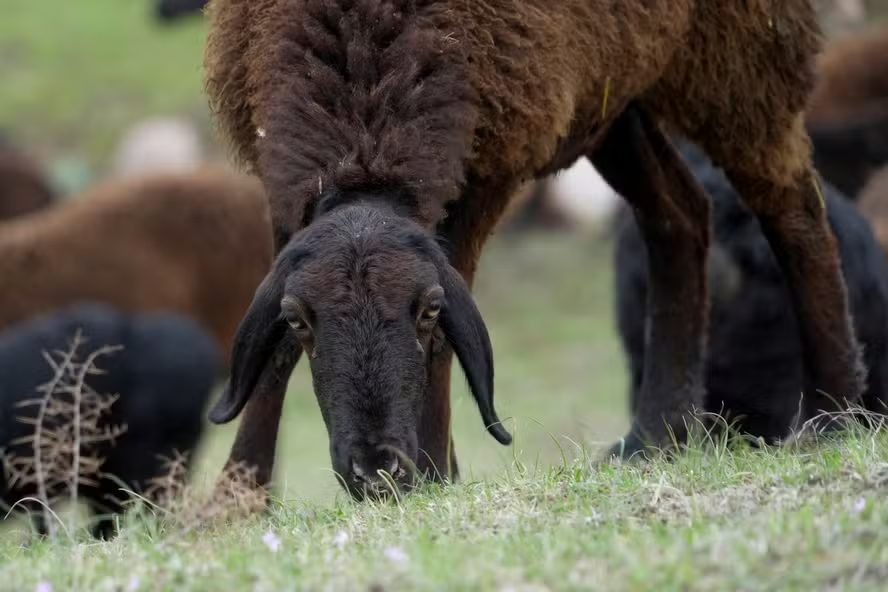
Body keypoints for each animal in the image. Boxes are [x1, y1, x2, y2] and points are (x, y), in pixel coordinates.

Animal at [206, 0, 860, 494]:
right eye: (299, 319)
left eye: (429, 311)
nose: (375, 471)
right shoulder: (287, 186)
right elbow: (272, 356)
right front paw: (237, 501)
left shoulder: (488, 158)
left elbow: (447, 325)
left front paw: (433, 477)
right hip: (612, 84)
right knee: (681, 215)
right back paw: (657, 436)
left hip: (741, 54)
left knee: (794, 208)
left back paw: (831, 414)